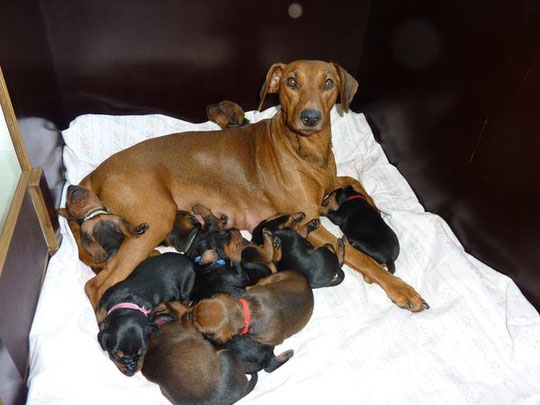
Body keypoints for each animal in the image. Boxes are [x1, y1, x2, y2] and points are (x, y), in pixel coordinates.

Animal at [80, 60, 428, 310]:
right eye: (291, 82)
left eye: (328, 83)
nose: (310, 117)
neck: (306, 150)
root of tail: (96, 173)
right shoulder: (310, 220)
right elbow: (360, 258)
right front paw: (400, 288)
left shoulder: (328, 186)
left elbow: (352, 181)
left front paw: (374, 213)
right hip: (156, 218)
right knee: (97, 286)